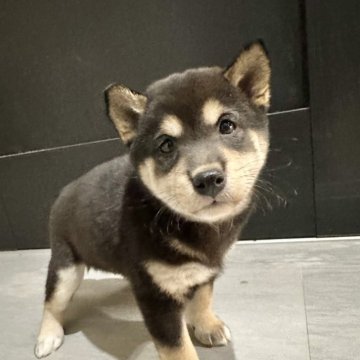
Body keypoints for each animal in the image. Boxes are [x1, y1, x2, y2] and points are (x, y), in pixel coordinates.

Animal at [34, 40, 270, 358]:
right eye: (166, 145)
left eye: (227, 126)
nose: (208, 179)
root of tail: (63, 191)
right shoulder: (156, 298)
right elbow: (178, 348)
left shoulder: (205, 270)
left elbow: (203, 296)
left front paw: (206, 324)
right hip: (65, 268)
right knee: (51, 302)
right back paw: (47, 335)